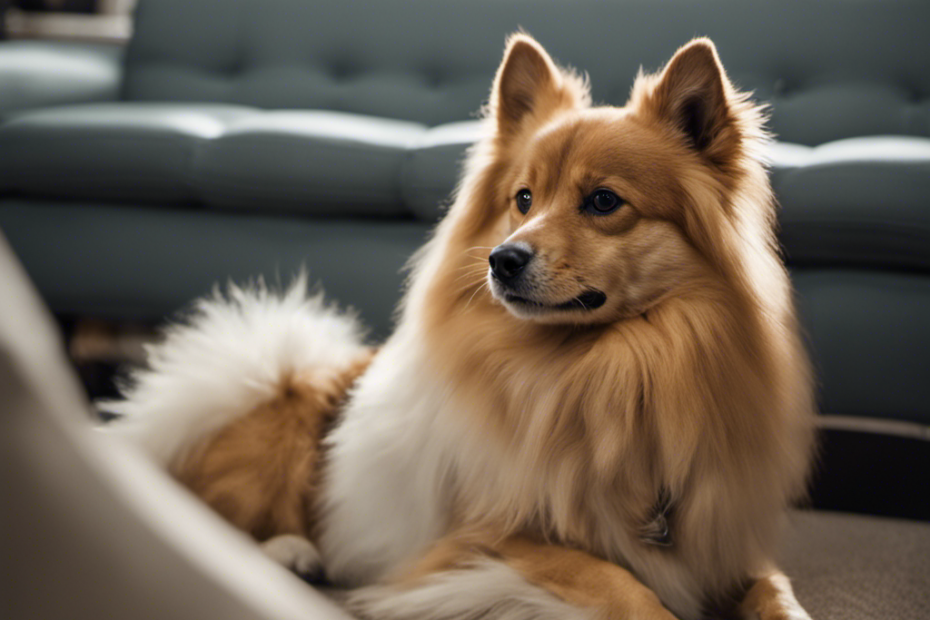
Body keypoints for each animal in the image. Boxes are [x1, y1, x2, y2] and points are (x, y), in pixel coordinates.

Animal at [110, 32, 820, 620]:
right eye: (523, 199)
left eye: (603, 202)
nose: (502, 260)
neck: (611, 370)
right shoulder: (483, 542)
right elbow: (625, 586)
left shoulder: (724, 539)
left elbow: (777, 592)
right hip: (285, 404)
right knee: (202, 513)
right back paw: (287, 551)